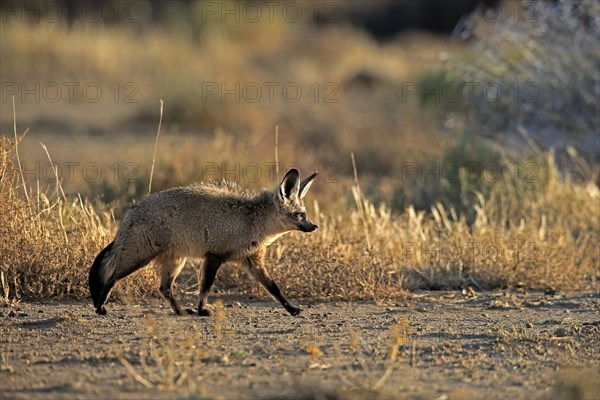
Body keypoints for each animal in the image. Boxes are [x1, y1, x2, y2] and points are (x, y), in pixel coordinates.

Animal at [89, 168, 318, 316]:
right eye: (299, 215)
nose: (314, 226)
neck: (253, 221)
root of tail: (131, 210)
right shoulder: (214, 256)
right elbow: (206, 287)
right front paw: (202, 309)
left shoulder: (253, 261)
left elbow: (274, 288)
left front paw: (291, 308)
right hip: (138, 259)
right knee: (112, 277)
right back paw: (100, 306)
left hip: (175, 262)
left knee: (164, 289)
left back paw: (181, 311)